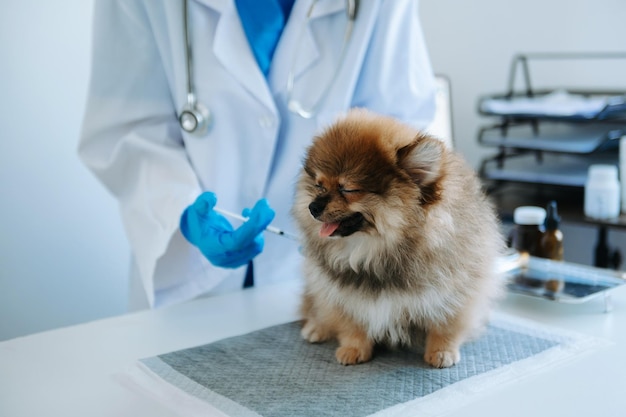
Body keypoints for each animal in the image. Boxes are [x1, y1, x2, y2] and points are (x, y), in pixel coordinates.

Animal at [292, 108, 502, 368]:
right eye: (319, 186)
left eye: (348, 189)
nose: (312, 207)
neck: (372, 251)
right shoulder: (343, 295)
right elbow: (351, 323)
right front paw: (353, 348)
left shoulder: (456, 289)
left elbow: (446, 325)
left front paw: (442, 351)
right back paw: (316, 327)